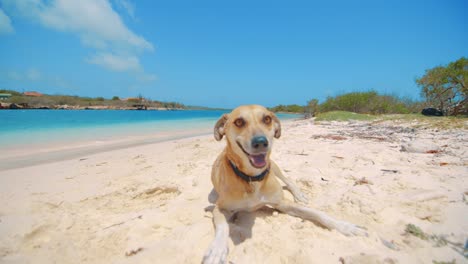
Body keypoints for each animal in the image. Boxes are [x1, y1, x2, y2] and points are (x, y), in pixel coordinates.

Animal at [203, 105, 368, 264]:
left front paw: (345, 226)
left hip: (274, 166)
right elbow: (223, 227)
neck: (252, 179)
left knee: (288, 179)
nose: (261, 142)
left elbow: (316, 212)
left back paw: (299, 194)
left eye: (267, 119)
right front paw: (216, 251)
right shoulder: (220, 208)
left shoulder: (281, 203)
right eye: (239, 122)